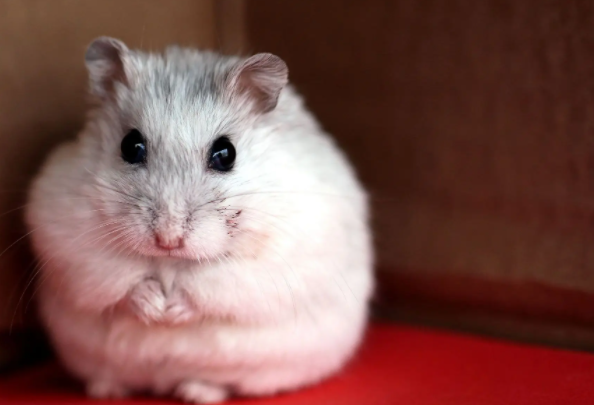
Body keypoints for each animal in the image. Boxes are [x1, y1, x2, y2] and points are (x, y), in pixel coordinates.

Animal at [25, 37, 373, 403]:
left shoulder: (271, 261)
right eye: (130, 146)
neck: (170, 262)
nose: (167, 239)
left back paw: (196, 391)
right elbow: (122, 278)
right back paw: (107, 390)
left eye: (226, 153)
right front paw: (155, 309)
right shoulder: (71, 242)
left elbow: (208, 283)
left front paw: (171, 312)